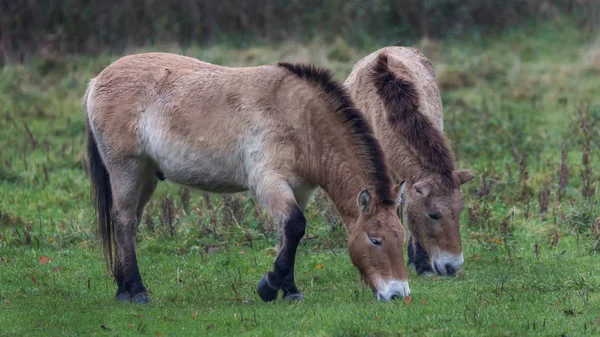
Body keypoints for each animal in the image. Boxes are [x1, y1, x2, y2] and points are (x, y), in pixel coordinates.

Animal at [84, 51, 410, 302]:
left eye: (401, 237)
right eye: (375, 240)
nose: (398, 294)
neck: (301, 120)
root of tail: (96, 81)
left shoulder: (300, 190)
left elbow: (288, 233)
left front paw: (289, 290)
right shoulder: (269, 182)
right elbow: (295, 225)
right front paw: (269, 287)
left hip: (146, 176)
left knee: (129, 223)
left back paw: (123, 288)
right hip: (126, 168)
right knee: (124, 220)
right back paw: (137, 291)